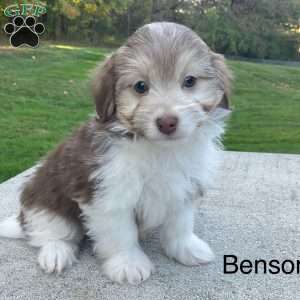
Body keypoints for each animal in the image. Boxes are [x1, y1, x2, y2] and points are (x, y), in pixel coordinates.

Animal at [0, 22, 232, 284]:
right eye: (140, 86)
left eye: (190, 81)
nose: (167, 122)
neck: (159, 149)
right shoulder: (108, 192)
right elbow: (121, 232)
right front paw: (128, 263)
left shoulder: (184, 186)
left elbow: (180, 223)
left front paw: (186, 248)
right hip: (45, 200)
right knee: (51, 232)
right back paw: (57, 252)